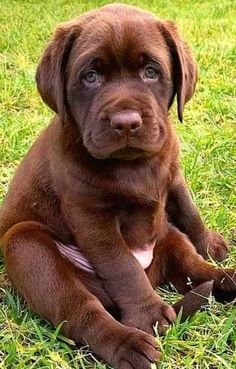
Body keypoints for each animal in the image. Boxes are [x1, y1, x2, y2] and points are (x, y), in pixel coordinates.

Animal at [0, 4, 235, 368]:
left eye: (151, 72)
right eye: (90, 76)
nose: (126, 123)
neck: (134, 164)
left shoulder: (173, 175)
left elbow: (188, 210)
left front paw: (209, 244)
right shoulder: (91, 215)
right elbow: (122, 266)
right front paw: (149, 315)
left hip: (167, 235)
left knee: (194, 269)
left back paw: (227, 279)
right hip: (26, 247)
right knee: (83, 309)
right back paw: (127, 343)